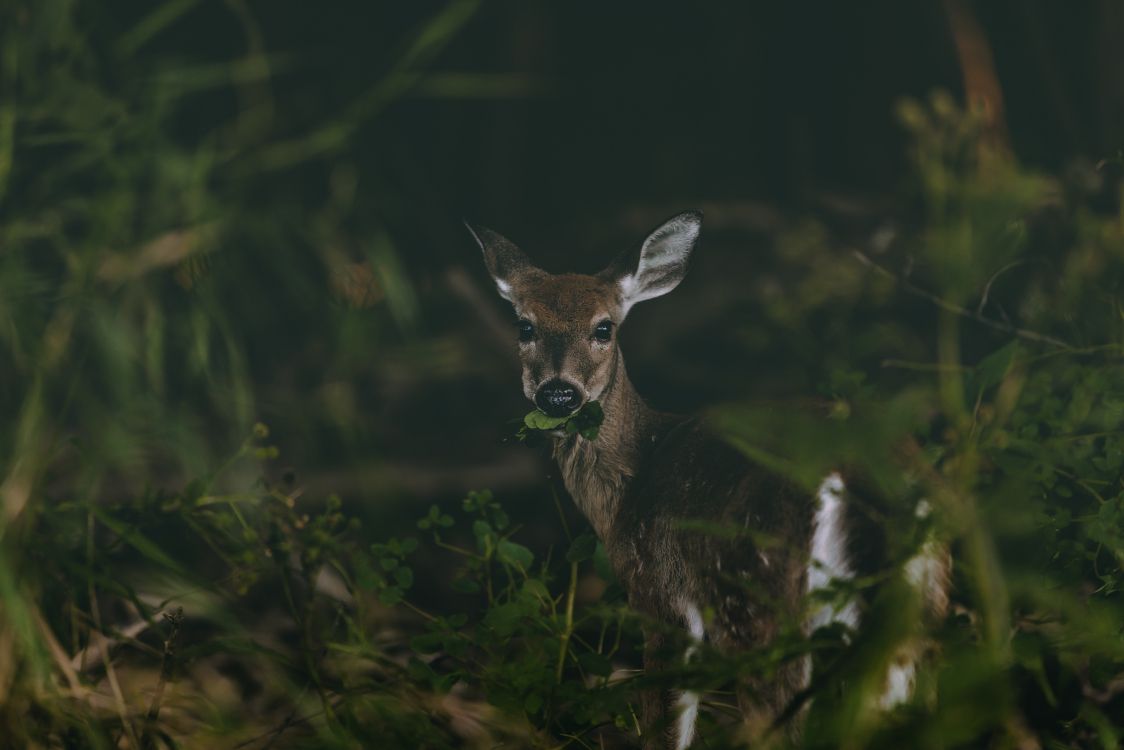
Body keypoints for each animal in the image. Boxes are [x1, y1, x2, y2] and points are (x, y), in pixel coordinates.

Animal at [465, 208, 948, 746]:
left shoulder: (659, 592)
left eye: (604, 328)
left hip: (757, 598)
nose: (558, 394)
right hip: (925, 602)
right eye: (525, 326)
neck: (633, 480)